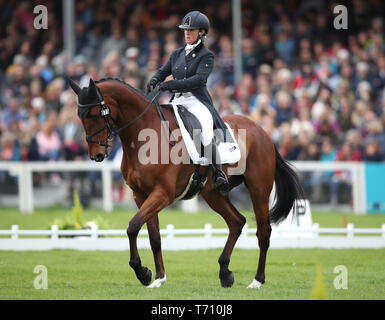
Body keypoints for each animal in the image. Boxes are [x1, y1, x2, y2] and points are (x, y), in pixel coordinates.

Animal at [68, 78, 304, 290]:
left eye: (95, 114)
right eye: (80, 116)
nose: (96, 155)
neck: (143, 137)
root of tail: (262, 131)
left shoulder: (163, 194)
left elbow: (133, 226)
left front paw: (143, 272)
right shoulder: (141, 195)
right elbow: (154, 236)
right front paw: (158, 278)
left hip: (258, 189)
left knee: (263, 231)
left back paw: (257, 280)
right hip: (213, 193)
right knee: (237, 222)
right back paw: (225, 273)